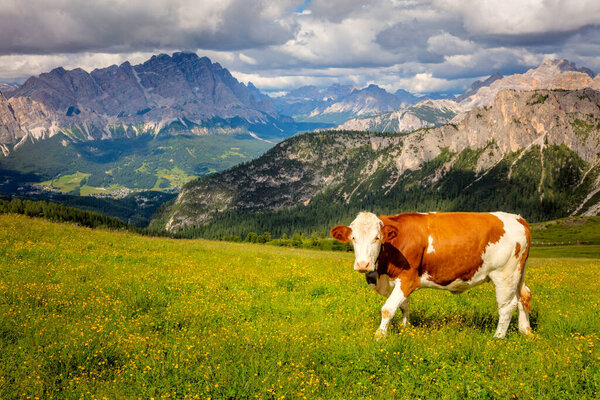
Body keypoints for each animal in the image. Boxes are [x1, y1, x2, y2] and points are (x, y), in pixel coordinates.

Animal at [330, 211, 532, 340]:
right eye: (353, 238)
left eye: (377, 238)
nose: (362, 264)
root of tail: (518, 218)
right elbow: (404, 306)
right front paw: (404, 328)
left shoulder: (408, 279)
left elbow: (388, 308)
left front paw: (379, 337)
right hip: (518, 273)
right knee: (523, 296)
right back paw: (525, 331)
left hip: (504, 274)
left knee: (507, 306)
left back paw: (497, 337)